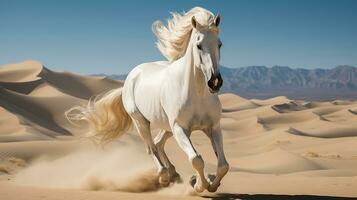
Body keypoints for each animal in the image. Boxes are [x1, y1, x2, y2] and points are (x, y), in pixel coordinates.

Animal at [69, 7, 228, 193]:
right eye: (199, 45)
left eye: (219, 44)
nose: (215, 82)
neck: (198, 93)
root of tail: (131, 77)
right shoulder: (180, 128)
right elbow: (196, 159)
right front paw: (197, 185)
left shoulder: (213, 128)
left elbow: (223, 165)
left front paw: (210, 183)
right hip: (142, 122)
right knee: (151, 148)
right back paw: (164, 176)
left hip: (166, 127)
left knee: (158, 144)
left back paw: (174, 174)